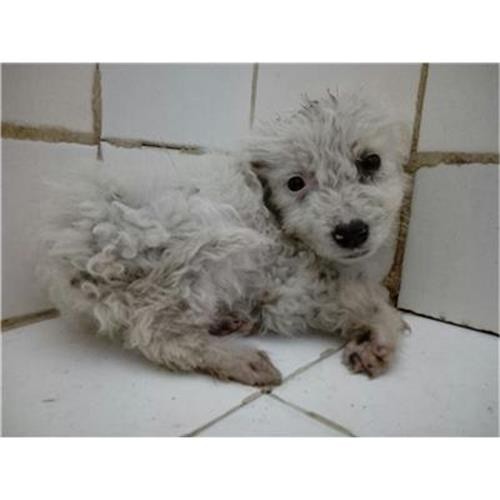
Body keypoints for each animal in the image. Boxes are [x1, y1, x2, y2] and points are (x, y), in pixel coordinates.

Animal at [38, 91, 409, 386]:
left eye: (371, 161)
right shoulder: (292, 287)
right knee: (162, 335)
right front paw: (380, 335)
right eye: (294, 183)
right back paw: (240, 360)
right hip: (206, 249)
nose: (351, 232)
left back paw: (232, 321)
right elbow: (367, 300)